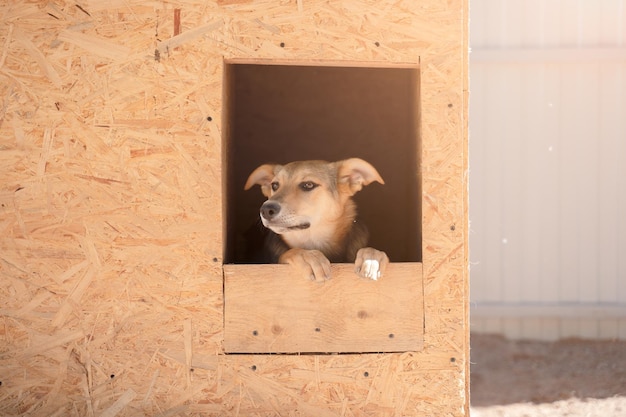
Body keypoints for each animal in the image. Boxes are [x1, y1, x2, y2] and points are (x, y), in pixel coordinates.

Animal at [243, 158, 386, 282]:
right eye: (275, 185)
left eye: (308, 184)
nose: (266, 209)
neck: (313, 239)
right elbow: (293, 252)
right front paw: (308, 256)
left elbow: (370, 251)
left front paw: (372, 258)